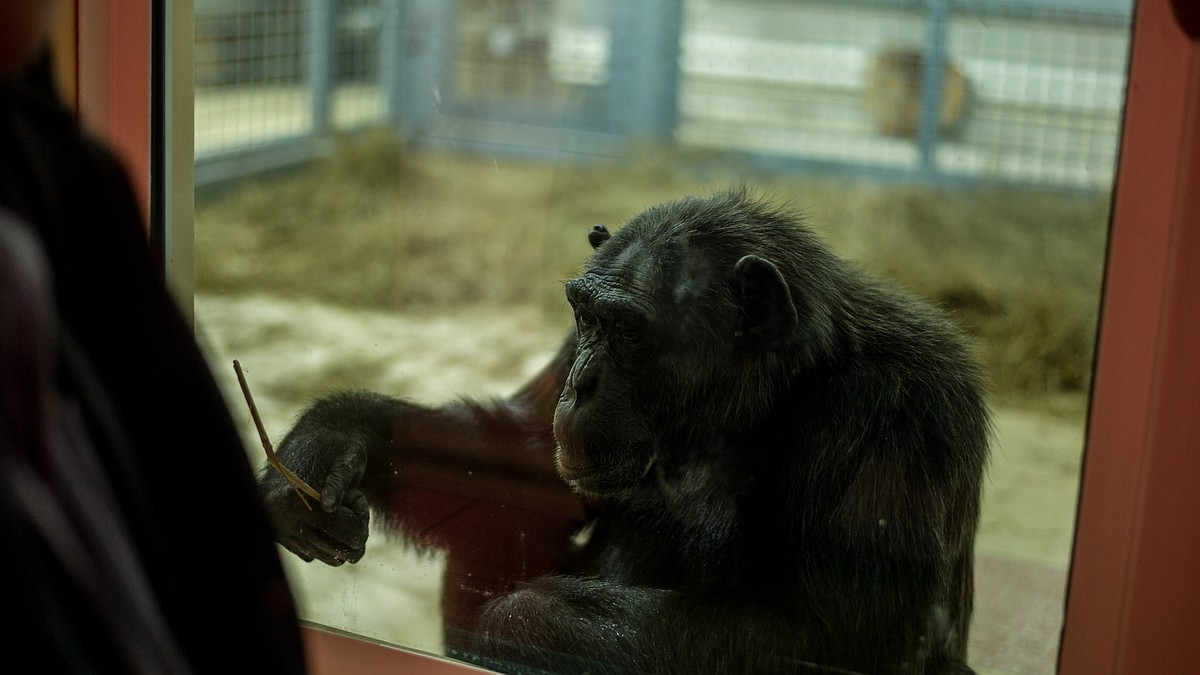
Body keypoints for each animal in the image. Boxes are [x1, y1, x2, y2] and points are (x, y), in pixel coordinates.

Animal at [260, 187, 993, 672]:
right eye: (588, 319)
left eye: (630, 333)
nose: (583, 383)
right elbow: (526, 462)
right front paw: (331, 441)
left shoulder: (899, 412)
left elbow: (835, 634)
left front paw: (525, 624)